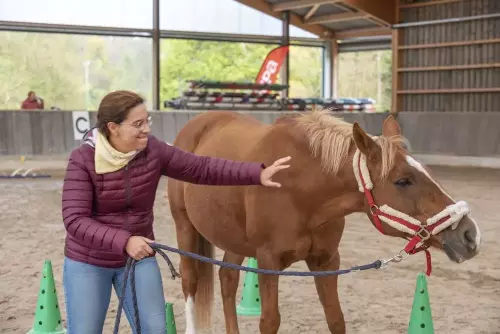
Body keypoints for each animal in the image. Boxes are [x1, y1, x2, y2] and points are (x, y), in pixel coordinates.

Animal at [167, 110, 480, 334]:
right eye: (403, 181)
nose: (469, 235)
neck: (300, 187)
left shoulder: (326, 261)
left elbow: (336, 319)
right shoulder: (268, 261)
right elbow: (269, 321)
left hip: (236, 240)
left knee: (227, 280)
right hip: (185, 228)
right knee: (191, 281)